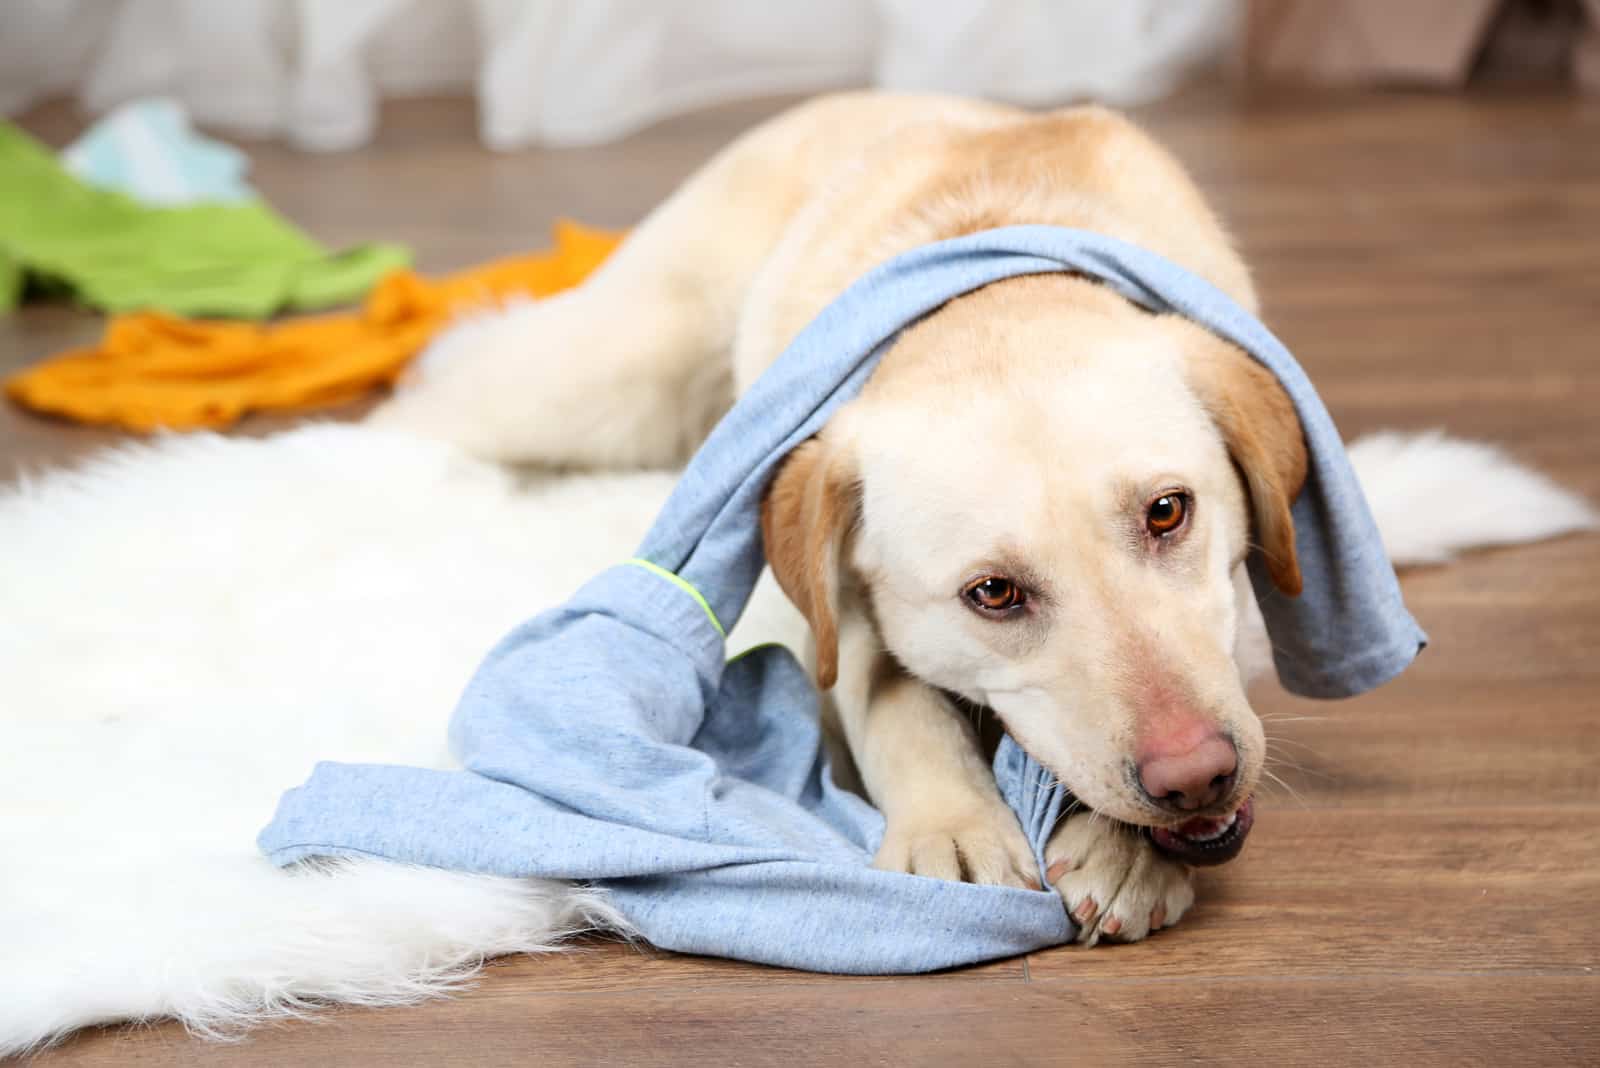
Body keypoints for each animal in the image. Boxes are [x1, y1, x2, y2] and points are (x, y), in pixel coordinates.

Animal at [371, 91, 1299, 940]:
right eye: (993, 594)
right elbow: (900, 713)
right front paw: (955, 825)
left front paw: (1123, 849)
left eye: (1168, 512)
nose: (1196, 777)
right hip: (609, 380)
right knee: (424, 404)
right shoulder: (847, 617)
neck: (984, 298)